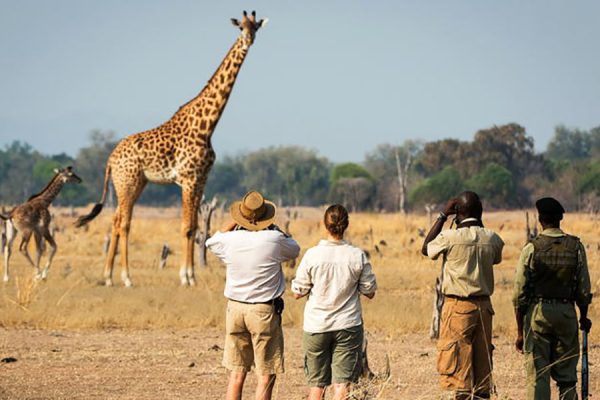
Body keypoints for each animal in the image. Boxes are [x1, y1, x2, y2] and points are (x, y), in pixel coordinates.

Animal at [75, 10, 268, 286]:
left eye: (256, 27)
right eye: (241, 28)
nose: (248, 40)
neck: (207, 125)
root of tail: (110, 160)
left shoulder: (201, 179)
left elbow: (195, 226)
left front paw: (191, 275)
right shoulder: (188, 179)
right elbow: (187, 227)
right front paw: (186, 277)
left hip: (135, 184)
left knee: (115, 219)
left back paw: (108, 276)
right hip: (127, 182)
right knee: (124, 223)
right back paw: (126, 277)